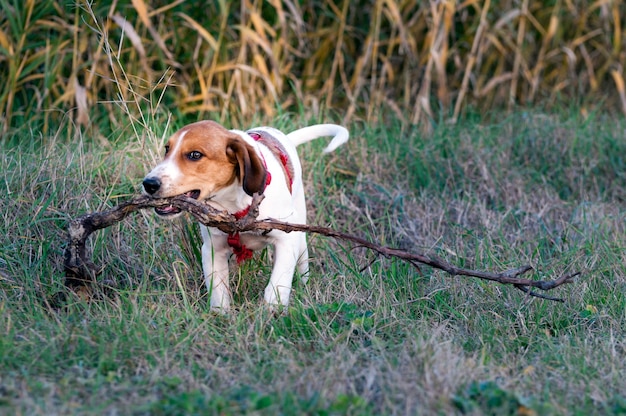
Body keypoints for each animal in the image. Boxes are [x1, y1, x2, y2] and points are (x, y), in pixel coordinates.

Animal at [141, 119, 346, 308]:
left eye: (195, 155)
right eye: (167, 149)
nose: (148, 183)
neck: (233, 207)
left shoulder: (286, 240)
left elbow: (277, 284)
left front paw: (272, 311)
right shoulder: (212, 249)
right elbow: (219, 294)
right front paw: (221, 316)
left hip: (299, 232)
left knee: (302, 262)